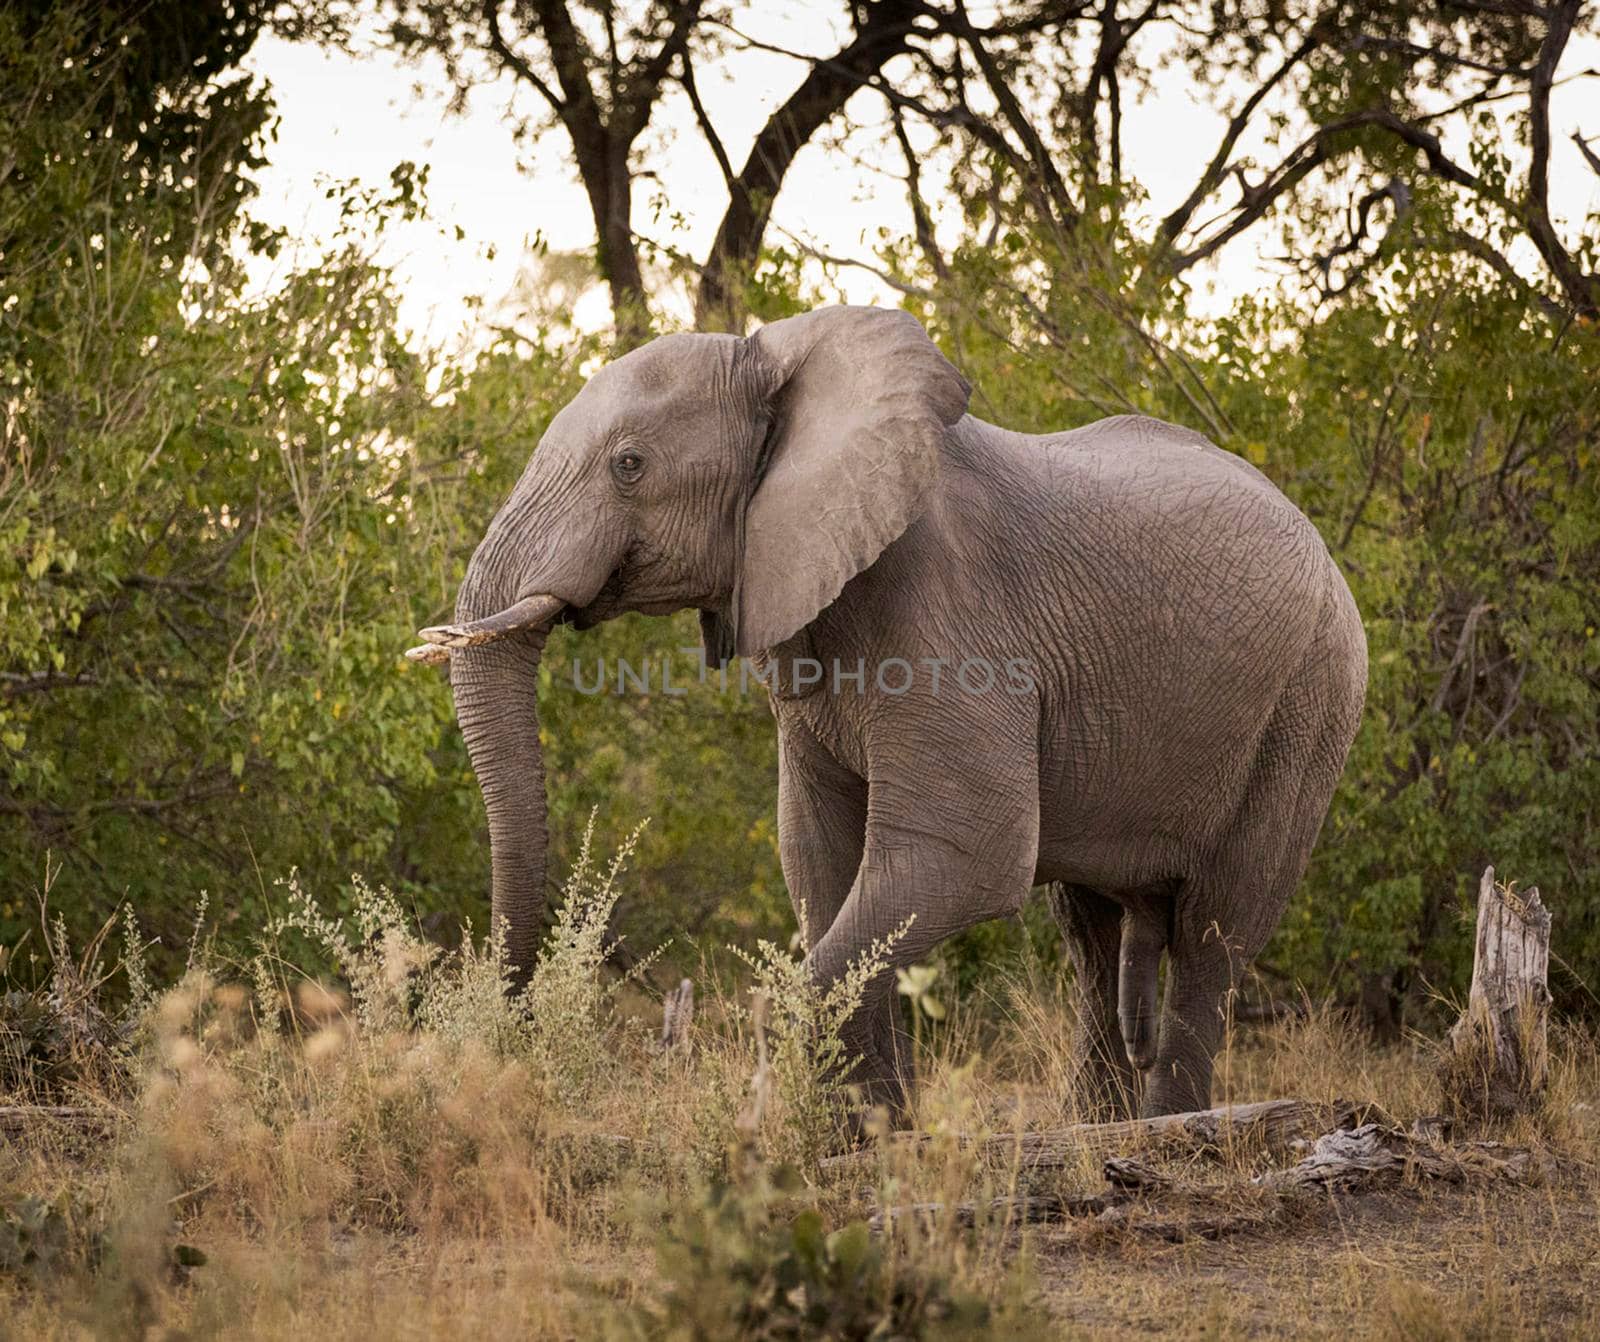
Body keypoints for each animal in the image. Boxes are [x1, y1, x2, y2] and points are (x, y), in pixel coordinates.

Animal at [409, 307, 1363, 1126]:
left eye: (630, 465)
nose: (518, 1039)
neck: (780, 368)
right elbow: (821, 858)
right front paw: (872, 1138)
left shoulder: (953, 619)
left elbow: (959, 856)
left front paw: (836, 1132)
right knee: (1091, 933)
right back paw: (1097, 1127)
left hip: (1311, 704)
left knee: (1215, 929)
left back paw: (1176, 1130)